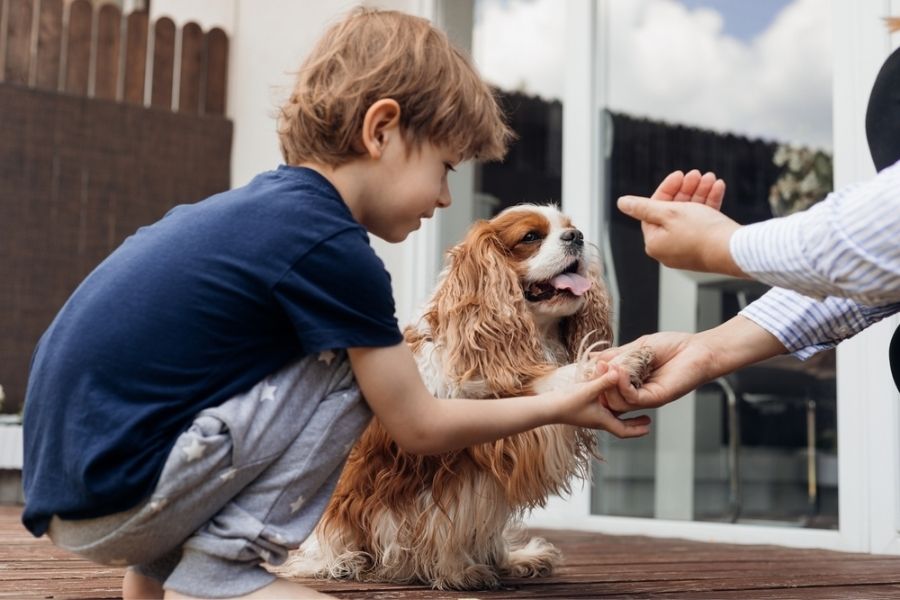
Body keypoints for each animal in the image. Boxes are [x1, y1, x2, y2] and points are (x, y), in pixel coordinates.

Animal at [278, 204, 652, 588]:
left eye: (571, 228)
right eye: (531, 237)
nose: (576, 237)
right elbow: (551, 382)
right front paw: (614, 363)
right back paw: (348, 562)